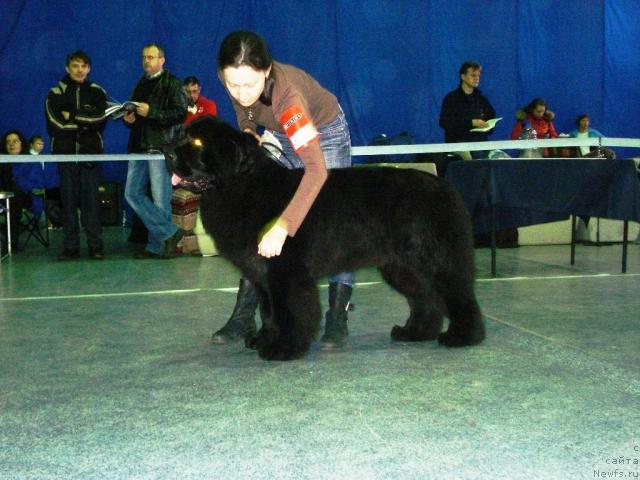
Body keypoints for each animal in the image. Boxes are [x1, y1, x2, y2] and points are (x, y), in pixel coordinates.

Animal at [166, 116, 484, 360]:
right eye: (181, 136)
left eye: (197, 144)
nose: (168, 154)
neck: (243, 187)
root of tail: (444, 186)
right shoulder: (262, 272)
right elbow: (269, 311)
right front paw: (265, 339)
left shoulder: (286, 271)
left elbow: (289, 311)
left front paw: (283, 348)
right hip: (402, 267)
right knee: (425, 297)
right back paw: (415, 333)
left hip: (434, 260)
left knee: (456, 294)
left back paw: (463, 336)